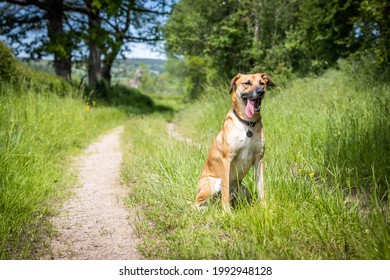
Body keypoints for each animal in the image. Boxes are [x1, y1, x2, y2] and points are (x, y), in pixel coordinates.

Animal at [195, 73, 274, 211]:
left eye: (262, 83)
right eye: (247, 83)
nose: (260, 92)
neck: (248, 124)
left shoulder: (259, 159)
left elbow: (261, 188)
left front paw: (265, 208)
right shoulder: (227, 159)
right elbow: (225, 193)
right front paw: (227, 212)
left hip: (243, 189)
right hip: (213, 183)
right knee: (195, 204)